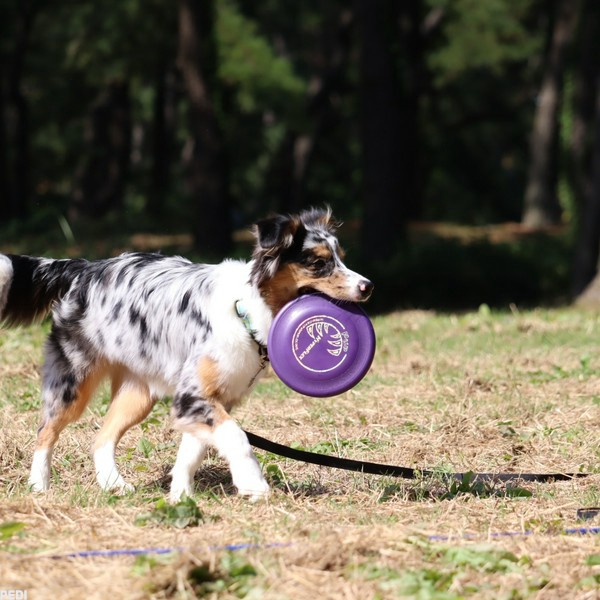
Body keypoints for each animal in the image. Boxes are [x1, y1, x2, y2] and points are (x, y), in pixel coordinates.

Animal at [0, 209, 372, 500]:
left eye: (341, 257)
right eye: (319, 263)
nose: (368, 286)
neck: (247, 308)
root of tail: (84, 268)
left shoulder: (209, 400)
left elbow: (192, 452)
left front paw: (180, 496)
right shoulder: (194, 397)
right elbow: (236, 437)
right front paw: (253, 484)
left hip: (138, 393)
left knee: (101, 437)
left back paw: (113, 484)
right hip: (72, 381)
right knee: (46, 431)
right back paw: (38, 485)